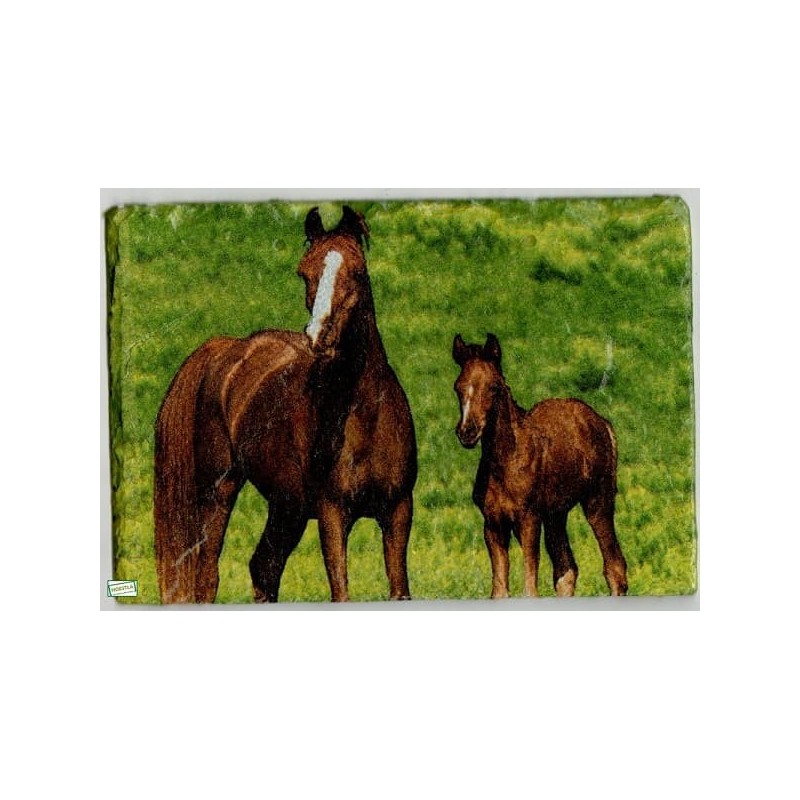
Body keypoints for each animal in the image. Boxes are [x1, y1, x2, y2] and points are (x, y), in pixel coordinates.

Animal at [154, 206, 417, 603]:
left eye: (358, 271)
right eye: (303, 272)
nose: (319, 336)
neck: (367, 418)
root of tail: (225, 350)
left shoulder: (398, 511)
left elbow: (399, 589)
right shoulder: (333, 513)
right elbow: (340, 591)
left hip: (286, 508)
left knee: (264, 567)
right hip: (220, 492)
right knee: (208, 576)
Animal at [452, 333, 628, 598]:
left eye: (494, 387)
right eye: (458, 387)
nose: (467, 432)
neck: (505, 463)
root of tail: (603, 423)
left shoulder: (529, 519)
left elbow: (529, 588)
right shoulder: (493, 524)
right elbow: (500, 591)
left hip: (598, 501)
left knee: (615, 568)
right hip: (556, 514)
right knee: (566, 571)